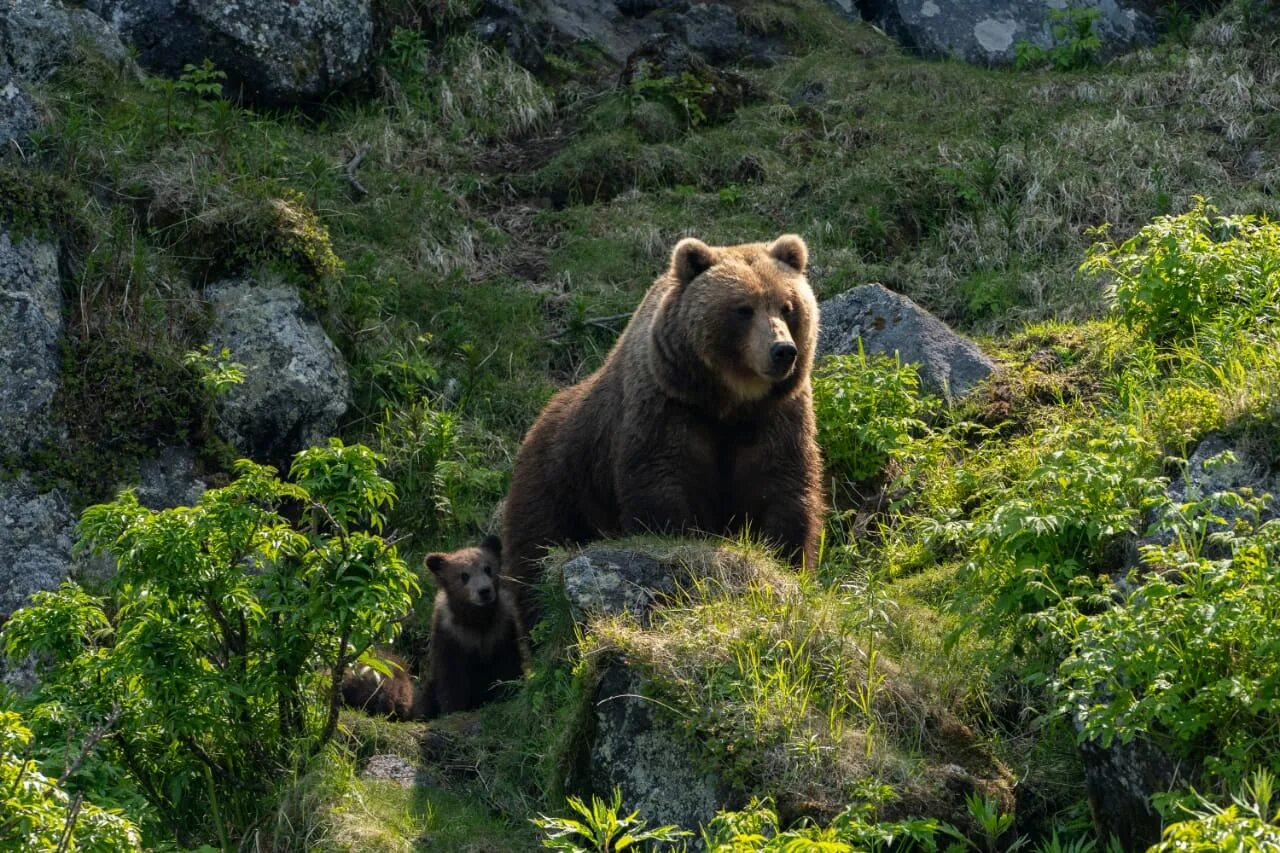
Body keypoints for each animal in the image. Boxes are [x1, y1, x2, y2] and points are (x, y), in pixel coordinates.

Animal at [424, 535, 524, 712]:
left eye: (488, 568)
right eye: (464, 575)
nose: (484, 591)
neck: (477, 621)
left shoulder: (501, 631)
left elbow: (508, 666)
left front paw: (508, 691)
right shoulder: (451, 637)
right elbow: (451, 678)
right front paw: (453, 707)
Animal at [499, 233, 819, 617]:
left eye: (787, 306)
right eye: (743, 308)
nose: (782, 350)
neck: (729, 402)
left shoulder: (774, 416)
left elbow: (782, 487)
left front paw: (784, 557)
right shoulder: (667, 407)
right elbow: (661, 482)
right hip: (560, 479)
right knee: (536, 550)